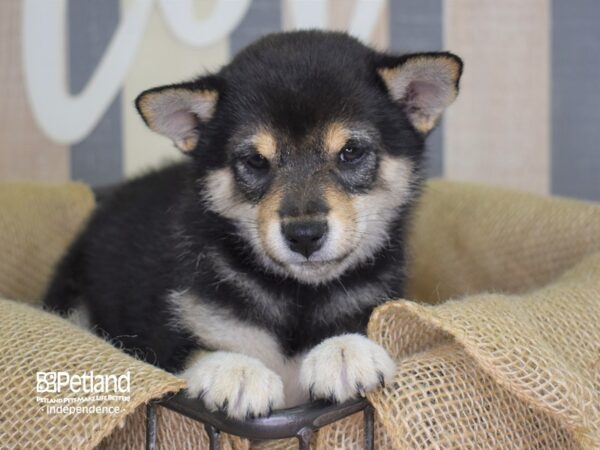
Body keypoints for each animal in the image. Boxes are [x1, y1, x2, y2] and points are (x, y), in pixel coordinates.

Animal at [43, 30, 464, 418]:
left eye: (351, 152)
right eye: (256, 161)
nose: (304, 235)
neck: (298, 298)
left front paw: (344, 349)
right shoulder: (160, 343)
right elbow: (192, 355)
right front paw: (235, 370)